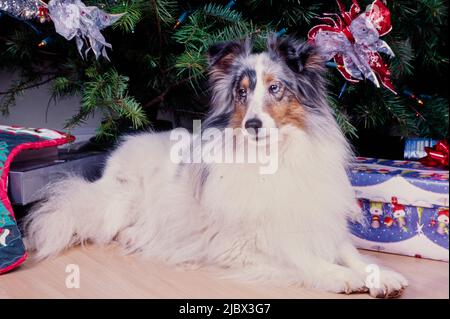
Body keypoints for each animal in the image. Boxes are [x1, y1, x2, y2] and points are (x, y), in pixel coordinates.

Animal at [23, 35, 408, 300]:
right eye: (241, 92)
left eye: (275, 88)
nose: (252, 125)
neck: (274, 157)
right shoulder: (242, 243)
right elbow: (298, 256)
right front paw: (339, 276)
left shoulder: (317, 219)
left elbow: (349, 251)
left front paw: (380, 274)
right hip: (123, 201)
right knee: (107, 226)